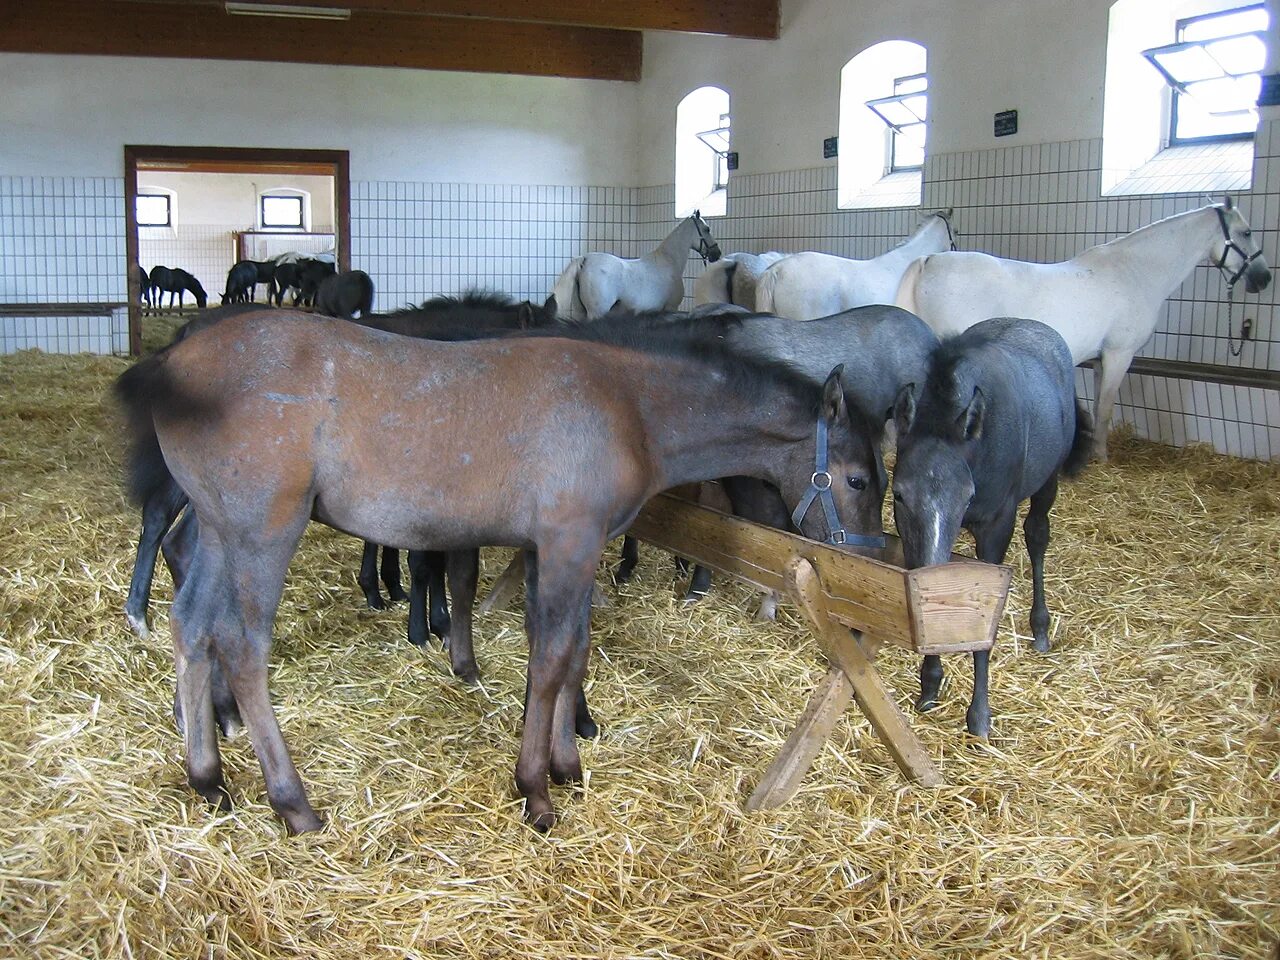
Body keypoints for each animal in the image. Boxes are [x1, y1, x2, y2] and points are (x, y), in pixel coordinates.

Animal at [117, 308, 880, 834]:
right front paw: (536, 790)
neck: (627, 402)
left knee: (192, 624)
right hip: (260, 534)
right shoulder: (571, 542)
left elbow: (570, 650)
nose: (869, 563)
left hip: (220, 531)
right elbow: (554, 657)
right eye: (859, 477)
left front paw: (566, 763)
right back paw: (292, 803)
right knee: (241, 645)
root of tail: (174, 363)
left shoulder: (557, 548)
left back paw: (208, 778)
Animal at [552, 209, 721, 321]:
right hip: (597, 312)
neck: (669, 261)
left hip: (581, 313)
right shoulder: (670, 308)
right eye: (707, 229)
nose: (717, 254)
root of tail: (585, 259)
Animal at [890, 199, 1269, 463]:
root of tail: (928, 261)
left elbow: (1100, 403)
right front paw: (1100, 456)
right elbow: (1106, 408)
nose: (1263, 278)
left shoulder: (1102, 359)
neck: (1134, 271)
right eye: (1247, 232)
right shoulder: (1119, 354)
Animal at [890, 320, 1090, 742]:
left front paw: (979, 716)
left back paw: (1040, 628)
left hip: (1047, 484)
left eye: (967, 496)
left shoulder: (996, 528)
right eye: (899, 493)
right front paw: (929, 684)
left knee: (1037, 535)